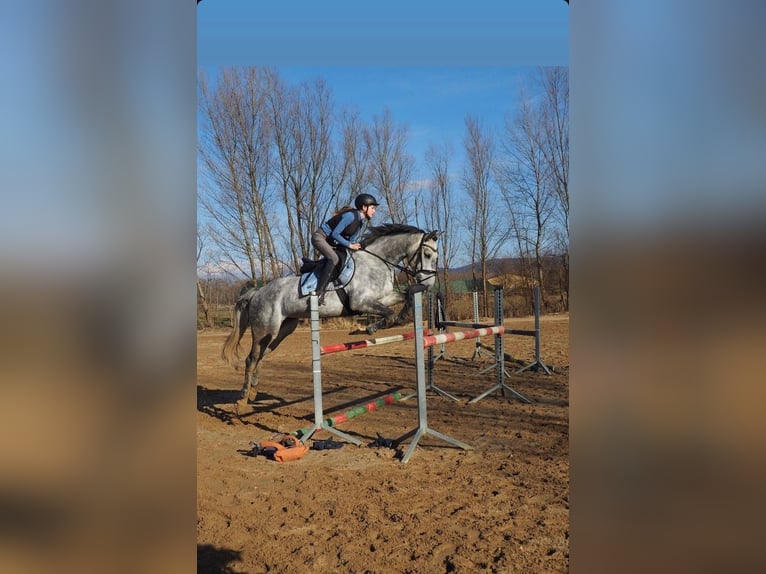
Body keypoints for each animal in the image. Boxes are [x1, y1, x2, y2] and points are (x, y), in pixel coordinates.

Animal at [219, 223, 440, 408]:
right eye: (427, 253)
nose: (429, 284)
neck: (376, 261)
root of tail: (257, 292)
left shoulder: (384, 297)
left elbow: (406, 297)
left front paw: (396, 319)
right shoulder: (361, 302)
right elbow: (389, 314)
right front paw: (366, 329)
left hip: (284, 329)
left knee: (262, 356)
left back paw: (253, 392)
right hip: (264, 329)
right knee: (251, 358)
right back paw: (242, 400)